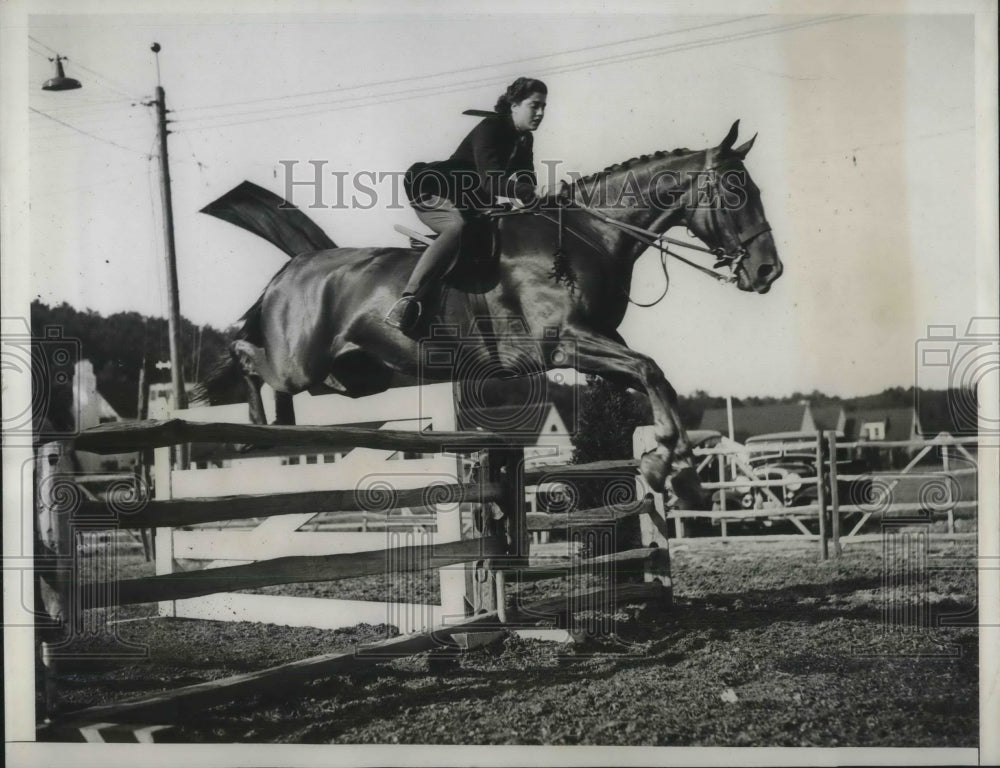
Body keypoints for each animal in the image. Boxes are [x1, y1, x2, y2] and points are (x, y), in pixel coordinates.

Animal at [197, 120, 780, 508]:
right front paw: (667, 465)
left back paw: (278, 426)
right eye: (736, 193)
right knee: (247, 354)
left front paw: (677, 470)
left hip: (357, 376)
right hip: (300, 362)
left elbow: (655, 378)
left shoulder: (596, 342)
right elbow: (650, 369)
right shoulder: (564, 343)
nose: (768, 270)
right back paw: (254, 426)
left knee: (303, 382)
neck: (591, 234)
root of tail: (290, 268)